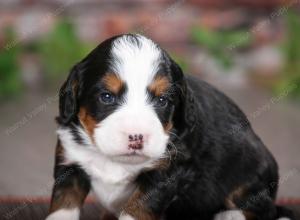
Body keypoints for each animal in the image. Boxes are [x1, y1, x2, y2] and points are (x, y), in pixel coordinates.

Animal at [46, 34, 292, 220]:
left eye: (162, 100)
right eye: (106, 97)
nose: (136, 137)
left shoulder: (166, 172)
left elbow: (137, 208)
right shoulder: (70, 162)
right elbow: (63, 204)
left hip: (247, 170)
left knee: (265, 209)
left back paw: (229, 216)